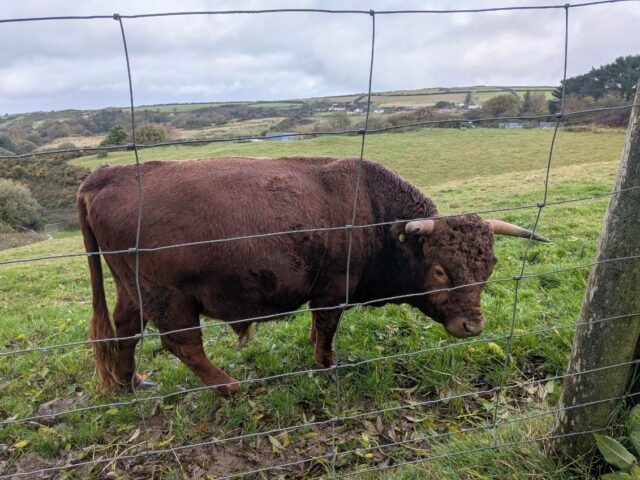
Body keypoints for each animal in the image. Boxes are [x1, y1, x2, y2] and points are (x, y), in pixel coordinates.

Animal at [77, 156, 549, 394]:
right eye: (439, 269)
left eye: (489, 267)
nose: (472, 326)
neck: (376, 215)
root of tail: (105, 176)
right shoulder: (332, 290)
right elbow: (326, 327)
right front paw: (326, 366)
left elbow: (317, 327)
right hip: (168, 297)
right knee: (182, 344)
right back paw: (228, 385)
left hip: (132, 291)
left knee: (123, 331)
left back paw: (130, 380)